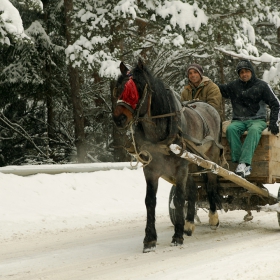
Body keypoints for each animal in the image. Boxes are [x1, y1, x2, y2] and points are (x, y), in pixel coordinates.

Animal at [111, 58, 223, 253]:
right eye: (118, 88)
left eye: (136, 87)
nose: (119, 119)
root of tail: (208, 106)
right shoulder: (151, 169)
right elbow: (150, 201)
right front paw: (149, 239)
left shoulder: (180, 167)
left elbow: (178, 199)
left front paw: (177, 236)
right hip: (191, 162)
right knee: (192, 190)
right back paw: (189, 223)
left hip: (209, 158)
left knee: (210, 185)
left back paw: (213, 218)